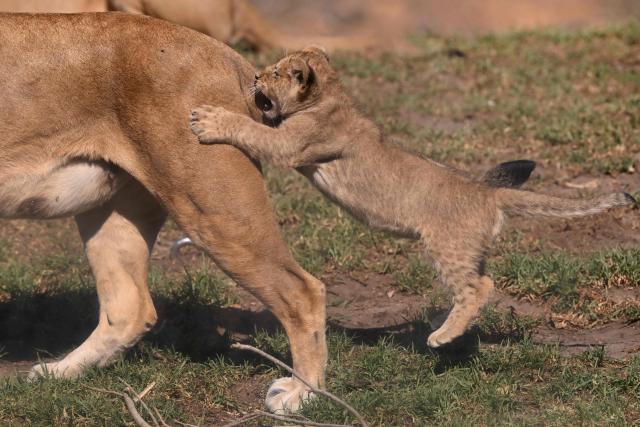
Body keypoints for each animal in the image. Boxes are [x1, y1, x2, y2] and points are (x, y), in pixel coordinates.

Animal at [0, 13, 326, 413]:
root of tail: (231, 58)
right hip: (115, 210)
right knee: (130, 307)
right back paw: (59, 372)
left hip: (214, 207)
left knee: (303, 290)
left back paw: (303, 393)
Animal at [190, 47, 637, 348]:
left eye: (278, 72)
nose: (254, 77)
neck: (331, 96)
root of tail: (488, 191)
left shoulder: (291, 146)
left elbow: (251, 128)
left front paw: (208, 119)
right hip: (471, 248)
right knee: (481, 281)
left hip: (446, 245)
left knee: (479, 288)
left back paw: (441, 337)